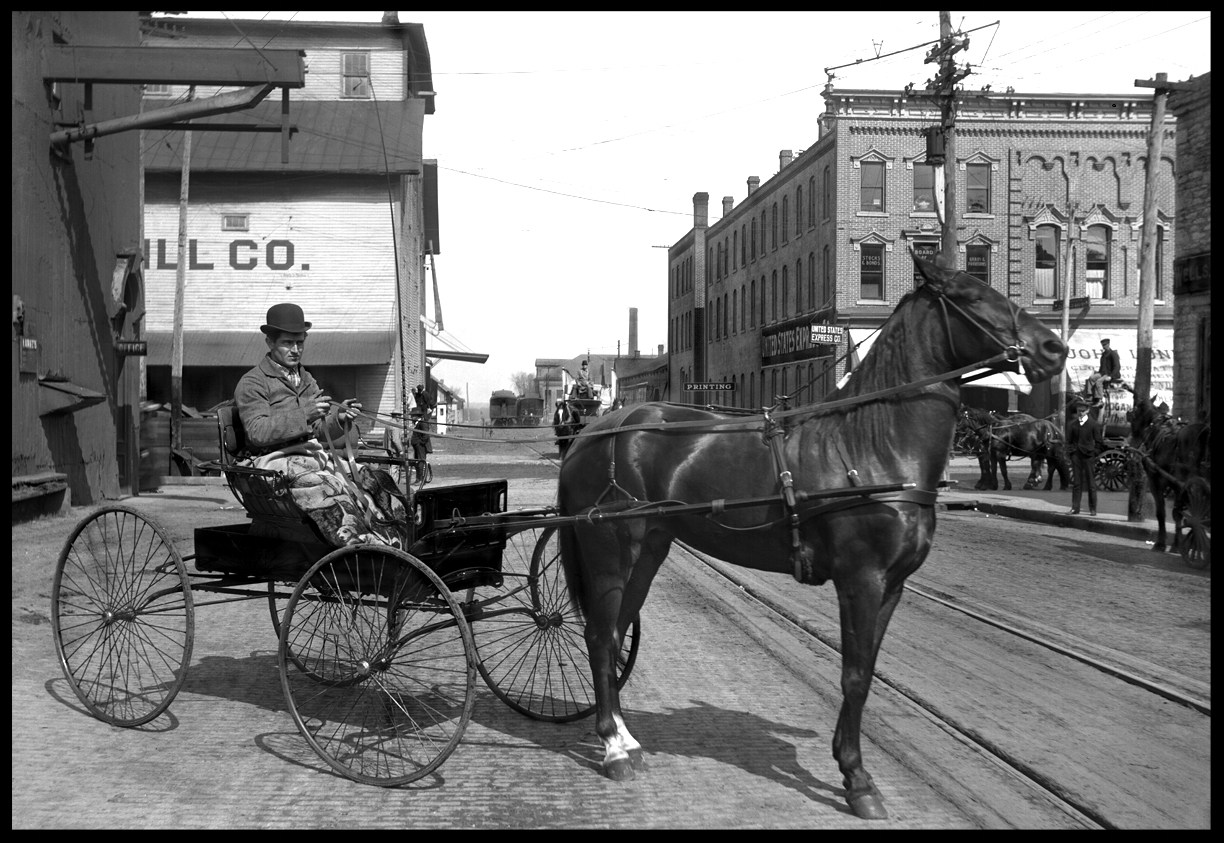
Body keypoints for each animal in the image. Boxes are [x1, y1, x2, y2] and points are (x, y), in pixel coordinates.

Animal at [555, 254, 1062, 817]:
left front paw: (850, 766)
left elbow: (865, 673)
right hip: (611, 552)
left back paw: (625, 738)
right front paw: (858, 779)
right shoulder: (860, 580)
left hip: (648, 551)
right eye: (972, 296)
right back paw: (613, 748)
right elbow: (855, 676)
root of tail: (592, 433)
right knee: (600, 637)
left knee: (617, 633)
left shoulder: (891, 586)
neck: (873, 445)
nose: (1053, 347)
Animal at [1130, 396, 1209, 553]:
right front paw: (1176, 544)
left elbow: (1163, 513)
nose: (1131, 443)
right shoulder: (1177, 486)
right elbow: (1176, 514)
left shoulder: (1155, 481)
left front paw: (1162, 543)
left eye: (1133, 416)